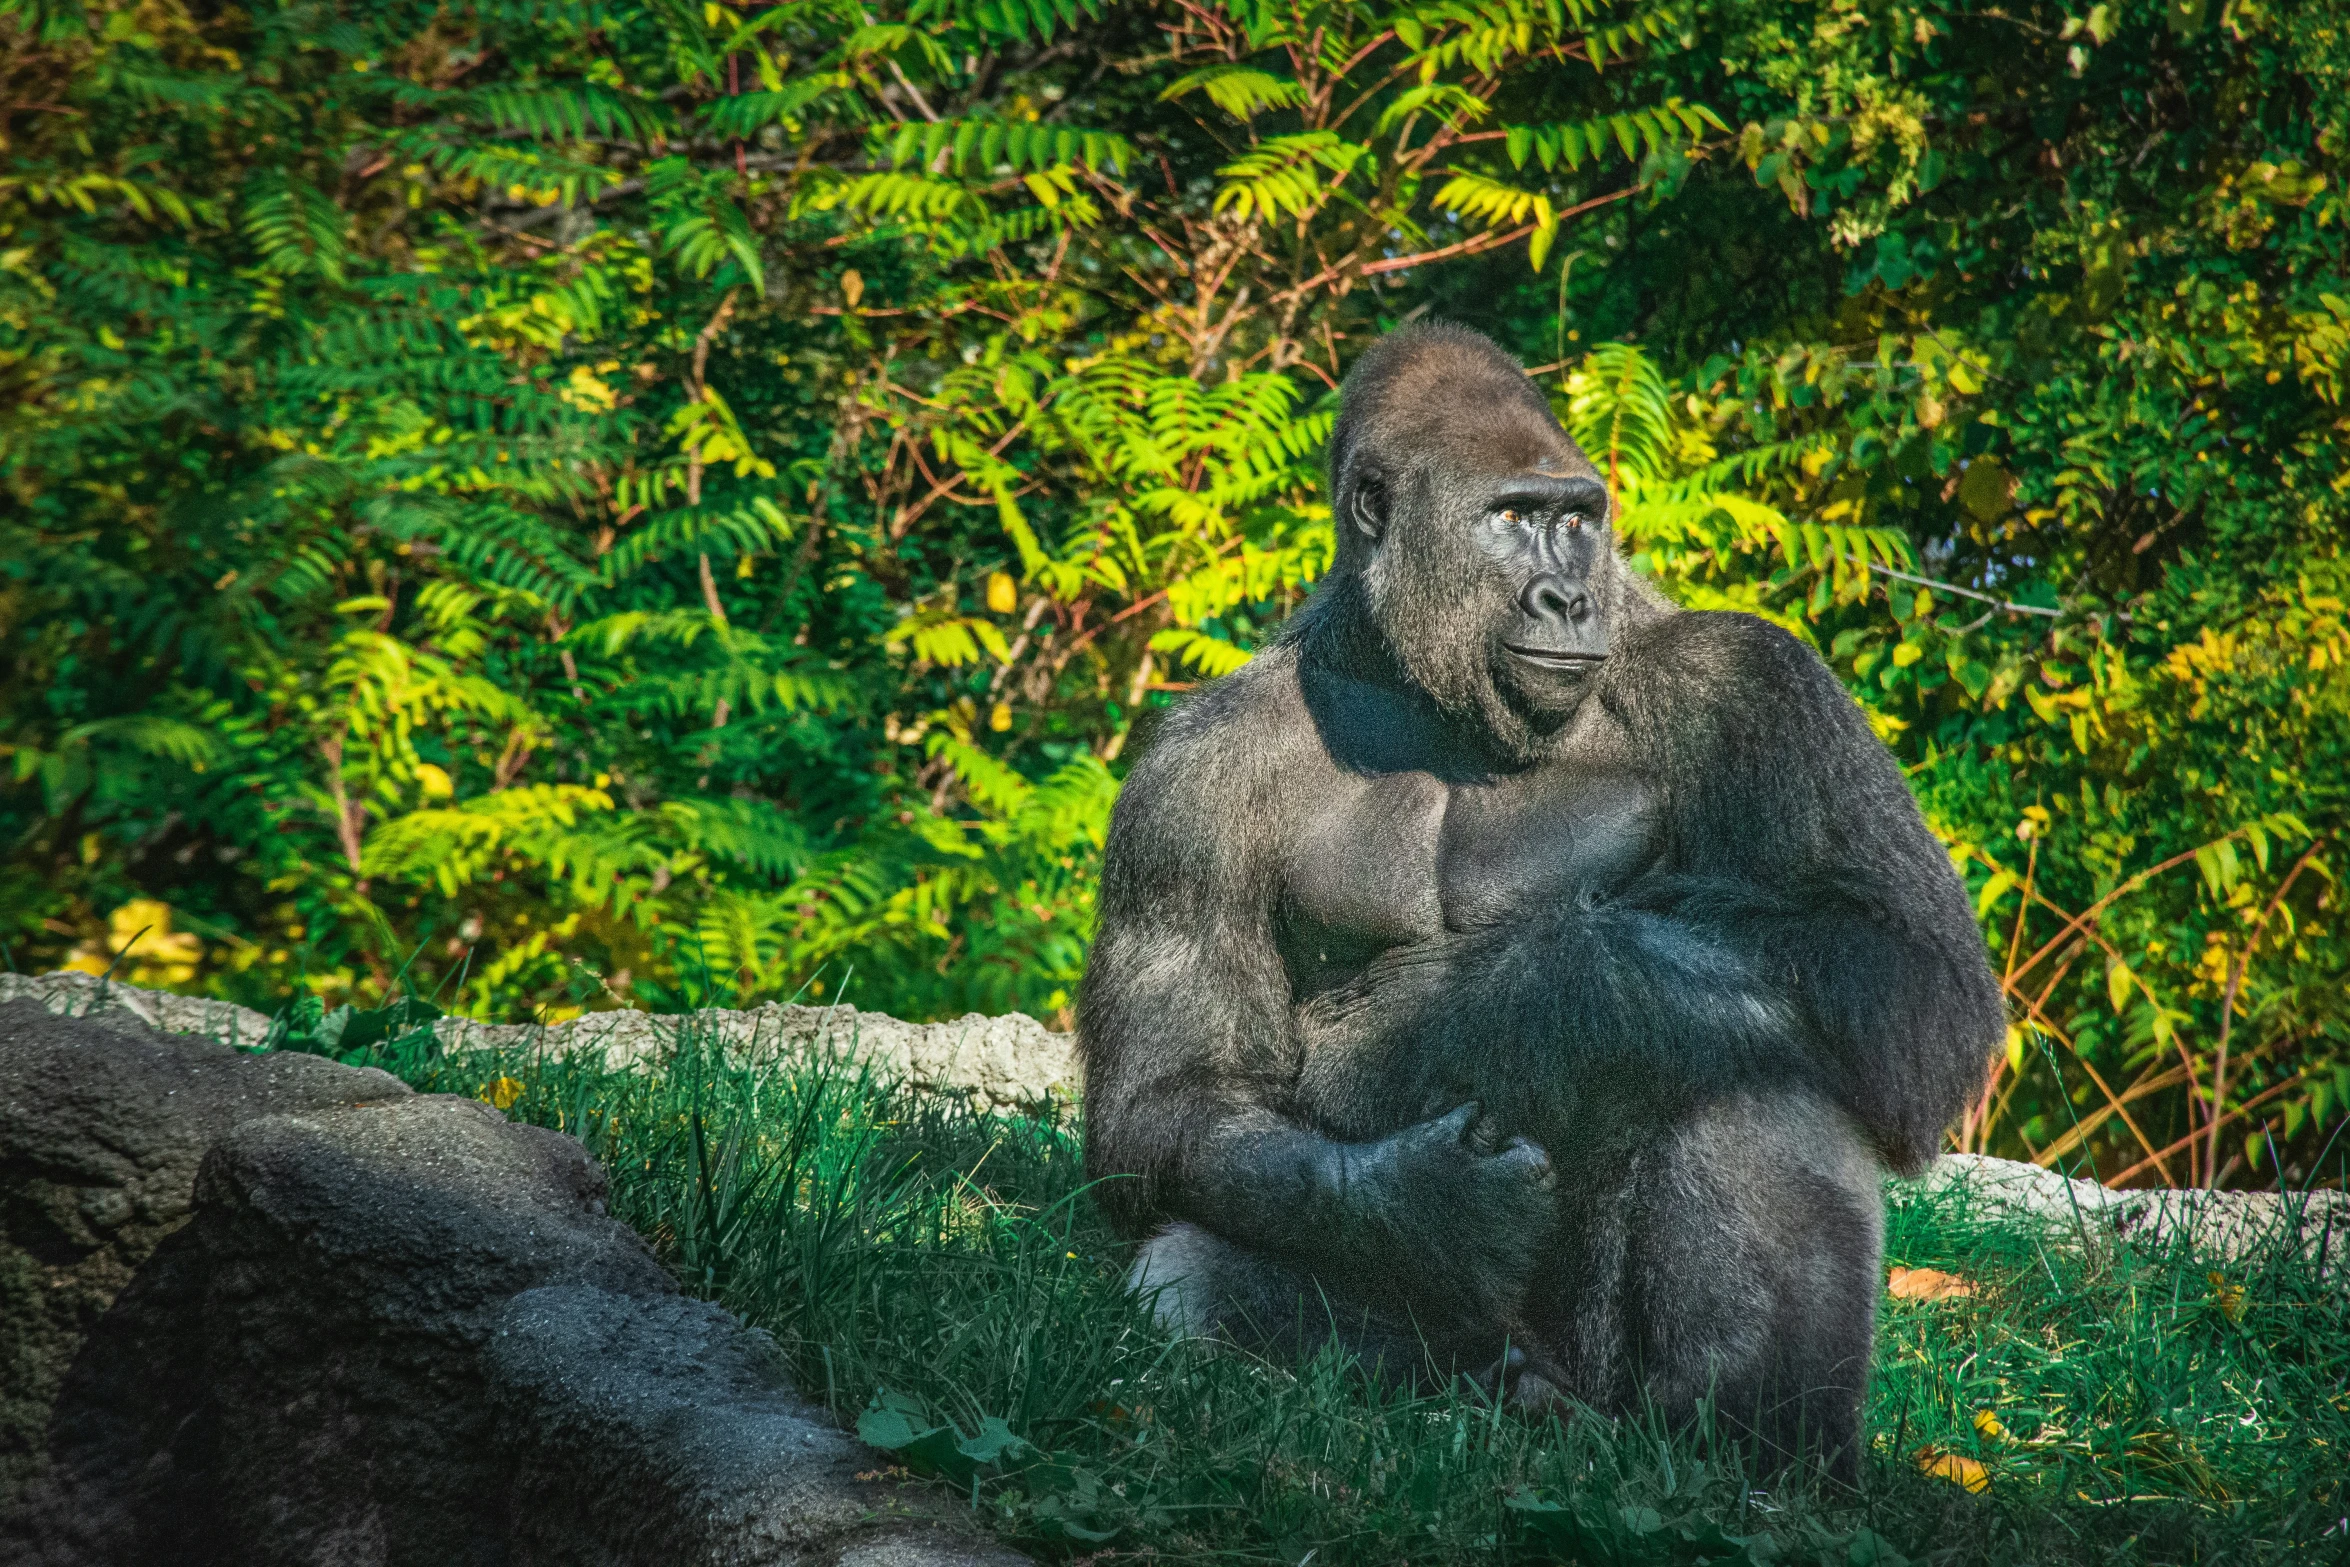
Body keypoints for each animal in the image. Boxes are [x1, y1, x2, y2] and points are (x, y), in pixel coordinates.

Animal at [1076, 321, 2011, 1484]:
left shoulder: (1751, 680)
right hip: (1464, 1357)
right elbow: (1169, 1101)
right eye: (1512, 519)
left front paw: (1527, 991)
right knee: (1189, 1279)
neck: (1415, 679)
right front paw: (1422, 1200)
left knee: (1760, 1054)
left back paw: (1750, 1449)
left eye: (1577, 520)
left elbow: (1904, 968)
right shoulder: (1185, 779)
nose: (1568, 598)